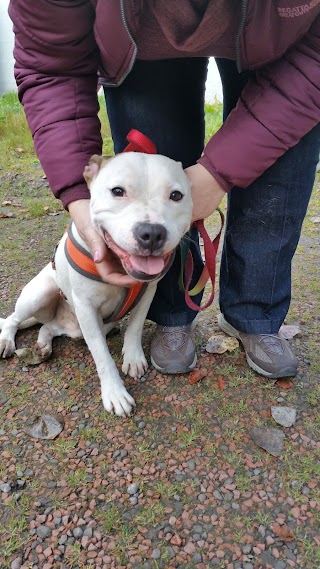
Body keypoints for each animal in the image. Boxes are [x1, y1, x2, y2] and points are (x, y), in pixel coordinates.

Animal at [0, 153, 192, 414]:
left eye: (176, 195)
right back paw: (7, 340)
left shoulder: (148, 292)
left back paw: (43, 345)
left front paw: (133, 358)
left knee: (47, 327)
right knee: (13, 318)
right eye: (117, 191)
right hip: (40, 293)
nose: (152, 233)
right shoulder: (86, 308)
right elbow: (101, 354)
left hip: (85, 325)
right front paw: (115, 393)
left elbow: (135, 326)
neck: (119, 266)